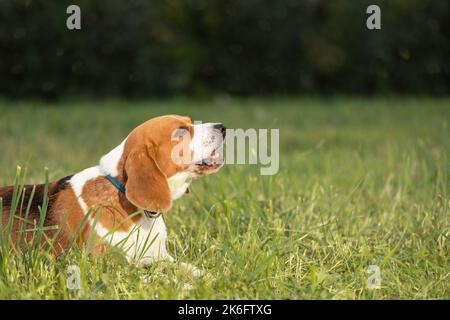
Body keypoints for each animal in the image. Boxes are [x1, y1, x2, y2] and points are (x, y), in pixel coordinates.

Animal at [0, 115, 225, 270]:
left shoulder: (161, 256)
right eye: (180, 132)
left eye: (189, 122)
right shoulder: (112, 264)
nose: (222, 127)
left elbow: (190, 269)